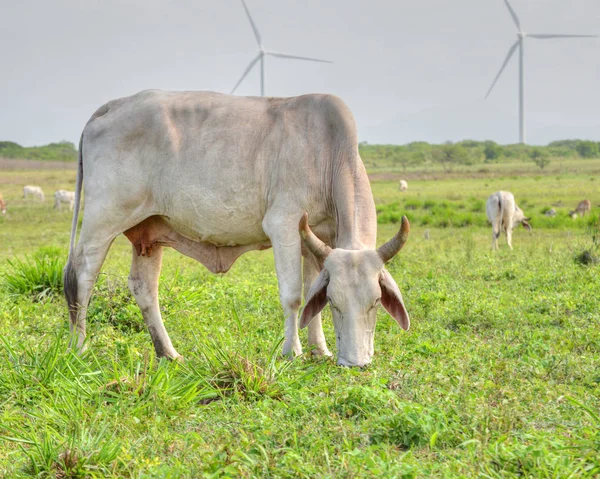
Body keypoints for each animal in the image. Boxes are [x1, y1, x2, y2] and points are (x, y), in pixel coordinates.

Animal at [64, 90, 412, 368]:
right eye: (337, 303)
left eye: (376, 302)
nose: (356, 363)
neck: (329, 153)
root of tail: (114, 105)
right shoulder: (284, 224)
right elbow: (293, 296)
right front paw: (292, 352)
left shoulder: (316, 239)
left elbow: (312, 294)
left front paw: (320, 350)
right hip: (103, 219)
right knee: (82, 275)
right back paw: (79, 348)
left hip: (148, 234)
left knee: (144, 288)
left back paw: (168, 353)